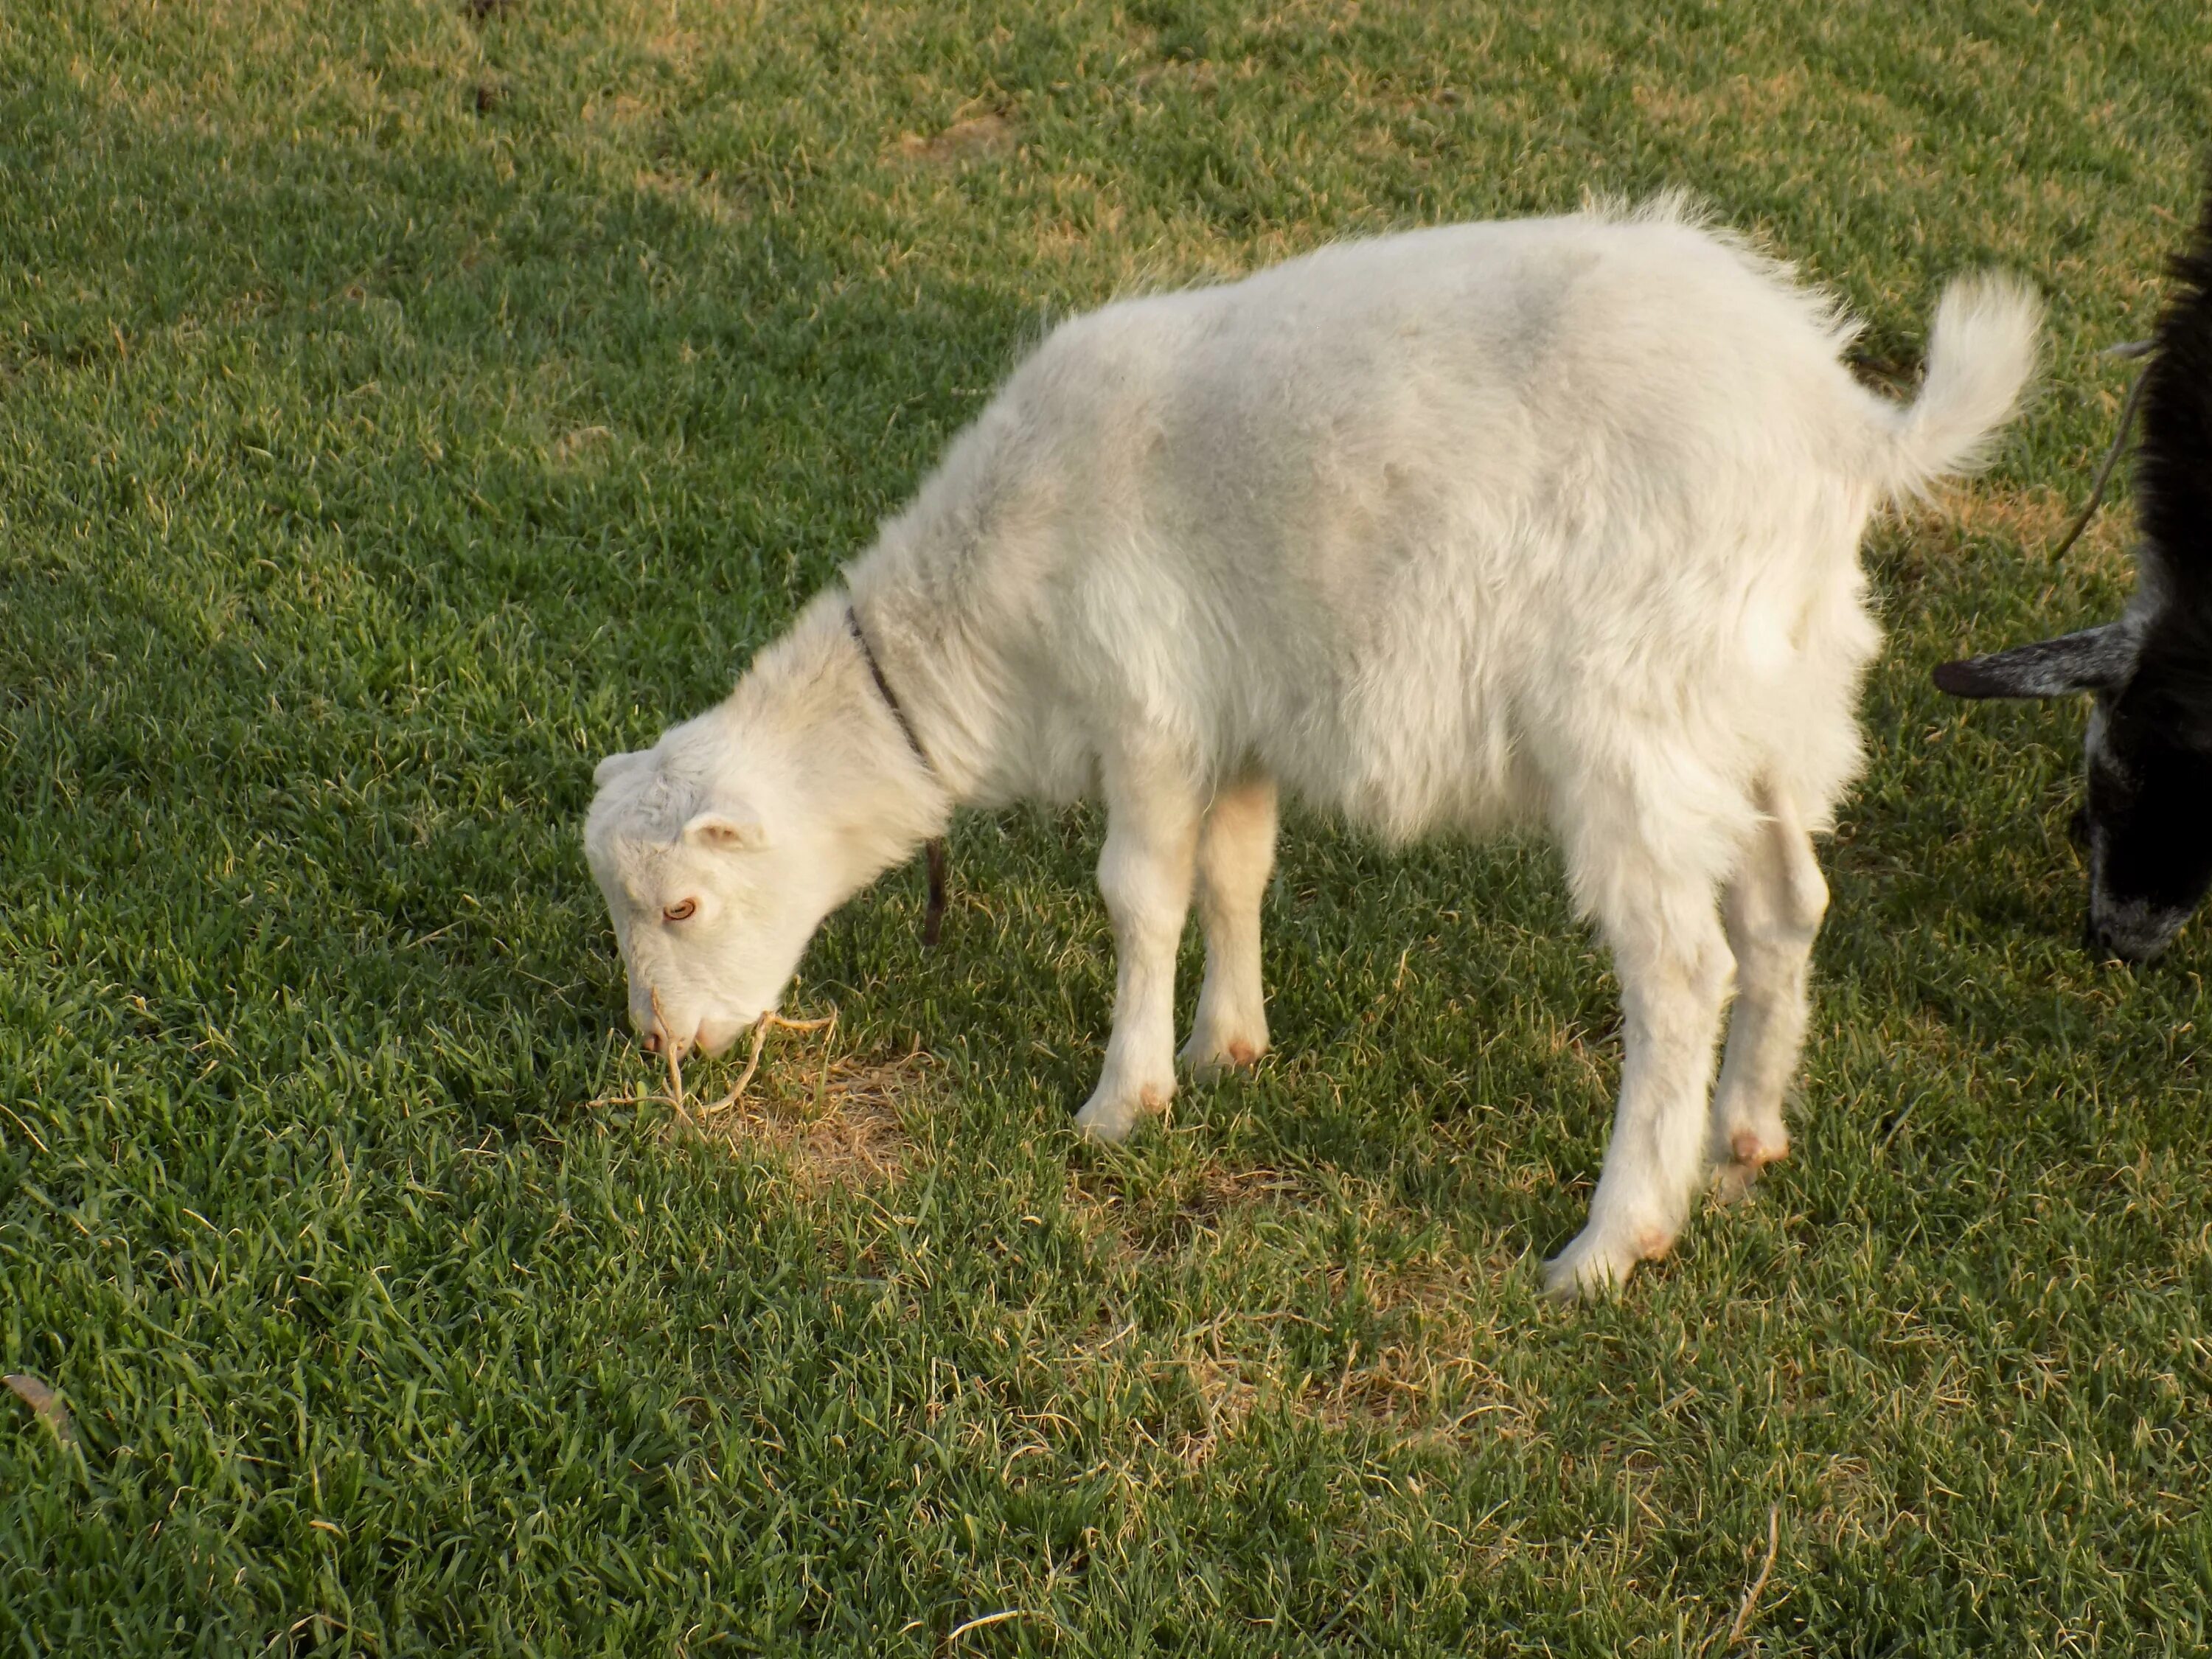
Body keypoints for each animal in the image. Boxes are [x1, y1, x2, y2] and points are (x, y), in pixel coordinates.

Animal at [588, 201, 2035, 1301]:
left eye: (684, 903)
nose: (660, 1050)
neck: (986, 620)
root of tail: (1843, 428)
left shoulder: (1148, 706)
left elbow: (1140, 897)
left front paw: (1123, 1102)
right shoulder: (1239, 719)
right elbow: (1236, 872)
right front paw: (1229, 1045)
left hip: (1636, 719)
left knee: (1681, 971)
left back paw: (1612, 1242)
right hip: (1778, 707)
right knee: (1790, 907)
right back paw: (1744, 1144)